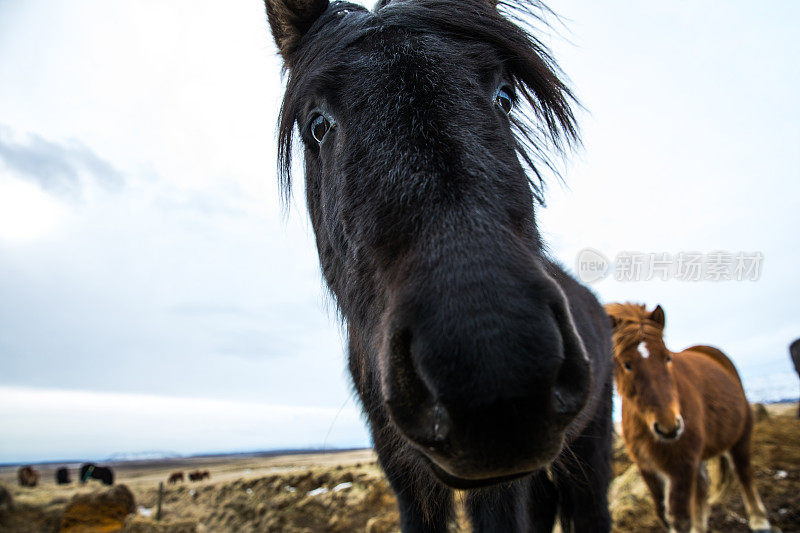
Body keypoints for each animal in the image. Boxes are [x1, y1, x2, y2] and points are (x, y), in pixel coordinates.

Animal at [262, 0, 612, 528]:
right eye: (317, 126)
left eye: (505, 97)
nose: (494, 370)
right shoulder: (405, 480)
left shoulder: (503, 490)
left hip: (590, 454)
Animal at [608, 304, 776, 532]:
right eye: (627, 364)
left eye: (667, 357)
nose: (669, 426)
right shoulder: (647, 468)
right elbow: (663, 514)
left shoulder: (682, 464)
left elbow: (680, 520)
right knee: (703, 486)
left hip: (740, 435)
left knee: (743, 471)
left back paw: (759, 520)